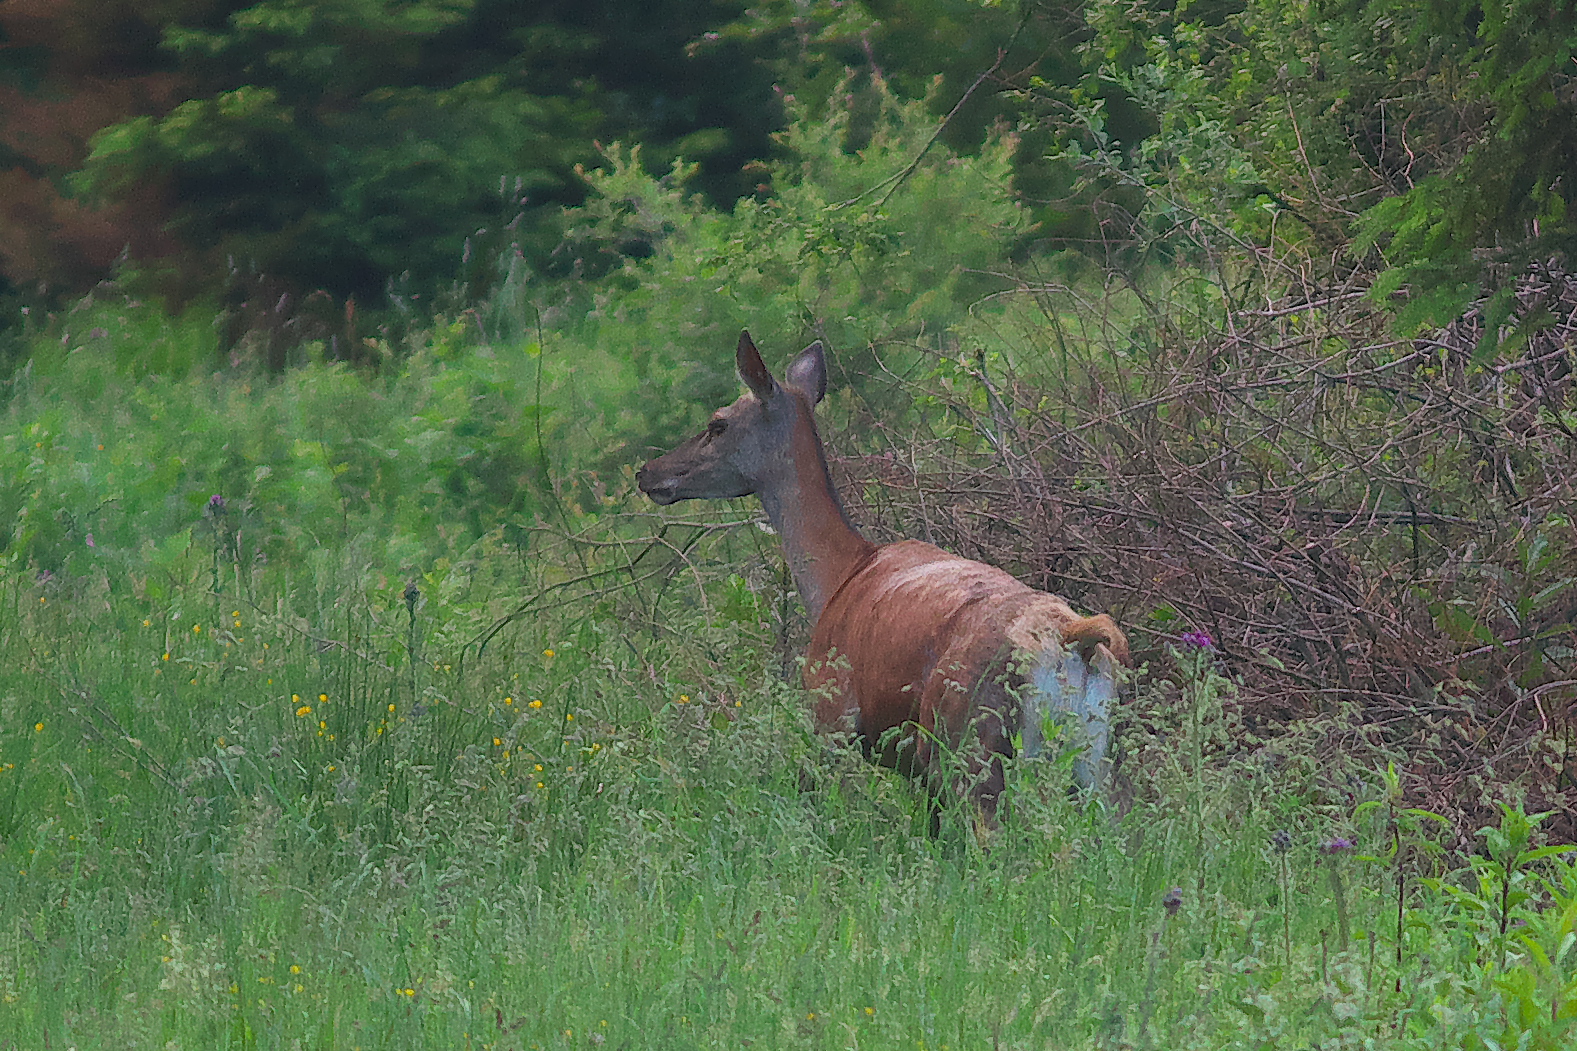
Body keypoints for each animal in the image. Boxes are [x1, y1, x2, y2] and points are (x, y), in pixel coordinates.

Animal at [633, 329, 1129, 826]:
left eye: (717, 424)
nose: (646, 472)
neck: (839, 576)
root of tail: (1075, 638)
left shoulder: (831, 715)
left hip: (968, 743)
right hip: (1094, 763)